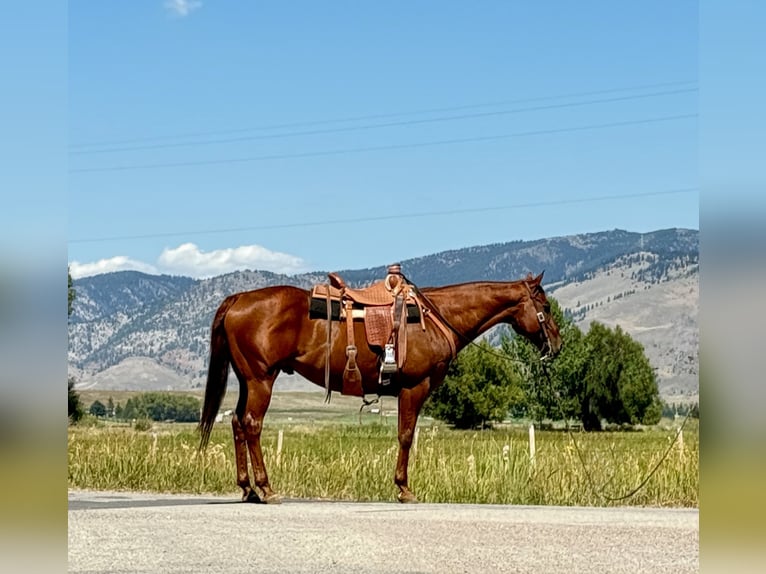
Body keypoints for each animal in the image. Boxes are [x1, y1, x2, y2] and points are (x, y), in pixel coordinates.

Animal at [197, 271, 562, 503]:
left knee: (237, 423)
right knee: (252, 425)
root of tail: (238, 299)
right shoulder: (414, 387)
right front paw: (404, 489)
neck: (436, 316)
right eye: (545, 307)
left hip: (248, 379)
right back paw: (267, 489)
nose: (557, 345)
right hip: (262, 379)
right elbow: (406, 436)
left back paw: (247, 489)